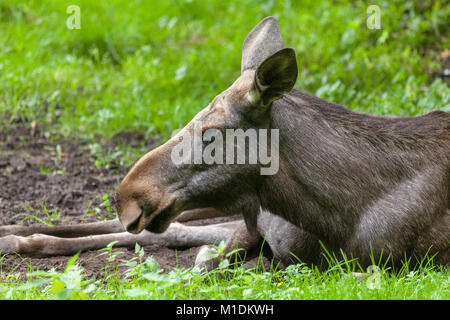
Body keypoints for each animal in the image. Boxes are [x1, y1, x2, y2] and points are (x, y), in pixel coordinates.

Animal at [1, 16, 448, 272]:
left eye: (211, 134)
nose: (127, 197)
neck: (337, 217)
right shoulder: (260, 224)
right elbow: (185, 243)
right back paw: (15, 233)